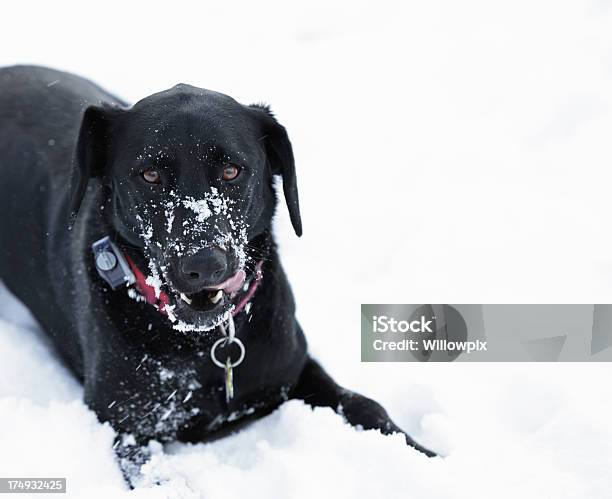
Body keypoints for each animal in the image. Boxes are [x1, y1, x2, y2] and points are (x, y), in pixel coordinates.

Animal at [0, 64, 436, 482]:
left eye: (231, 171)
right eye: (149, 175)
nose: (205, 264)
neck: (204, 344)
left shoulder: (293, 368)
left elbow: (366, 406)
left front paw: (430, 457)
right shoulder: (127, 425)